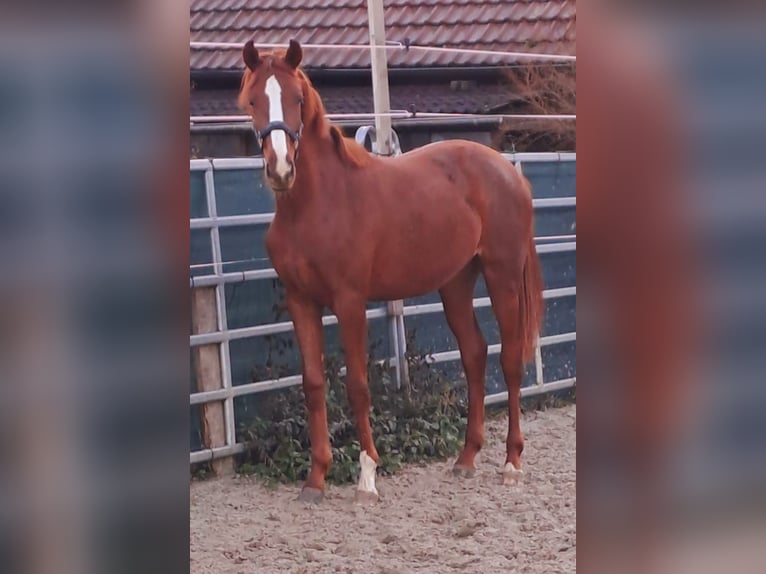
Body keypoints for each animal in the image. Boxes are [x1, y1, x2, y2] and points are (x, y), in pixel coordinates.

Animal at [240, 40, 544, 506]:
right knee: (474, 354)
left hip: (502, 275)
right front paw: (315, 479)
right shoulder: (301, 300)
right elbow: (313, 384)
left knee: (509, 360)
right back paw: (466, 458)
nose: (280, 170)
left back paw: (511, 463)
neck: (316, 204)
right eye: (254, 100)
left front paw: (367, 476)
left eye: (296, 99)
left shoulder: (349, 301)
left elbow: (358, 385)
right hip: (456, 282)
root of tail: (510, 173)